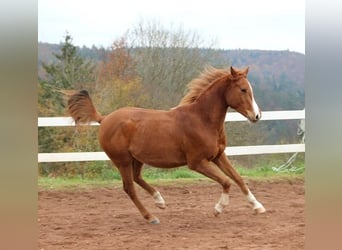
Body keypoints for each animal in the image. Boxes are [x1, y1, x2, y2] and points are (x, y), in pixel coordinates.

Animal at [65, 65, 266, 224]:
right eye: (242, 89)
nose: (256, 116)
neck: (201, 120)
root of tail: (104, 118)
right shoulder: (197, 163)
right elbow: (226, 181)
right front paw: (218, 209)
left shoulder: (218, 156)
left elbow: (238, 179)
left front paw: (258, 206)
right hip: (122, 161)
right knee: (129, 188)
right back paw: (151, 217)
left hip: (137, 159)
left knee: (137, 178)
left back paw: (159, 201)